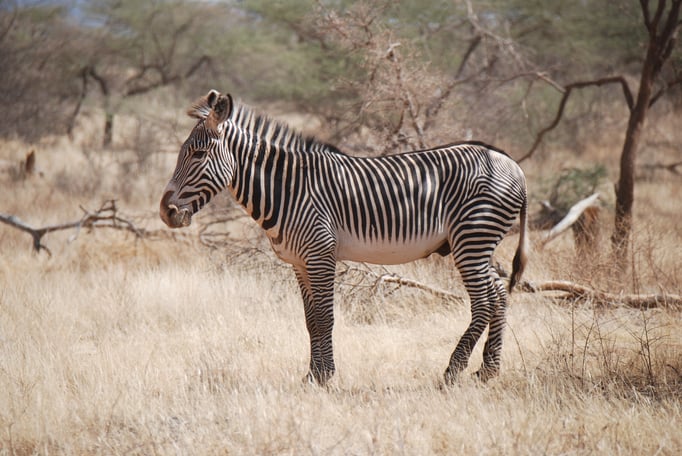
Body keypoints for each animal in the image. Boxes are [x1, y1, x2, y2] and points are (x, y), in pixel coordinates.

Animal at [160, 90, 529, 386]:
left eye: (197, 154)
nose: (165, 211)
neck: (288, 190)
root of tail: (513, 164)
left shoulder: (321, 253)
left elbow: (325, 317)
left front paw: (325, 376)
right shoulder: (299, 263)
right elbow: (310, 320)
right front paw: (311, 375)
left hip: (472, 239)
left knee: (483, 302)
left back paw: (453, 370)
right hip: (479, 243)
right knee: (499, 295)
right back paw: (489, 370)